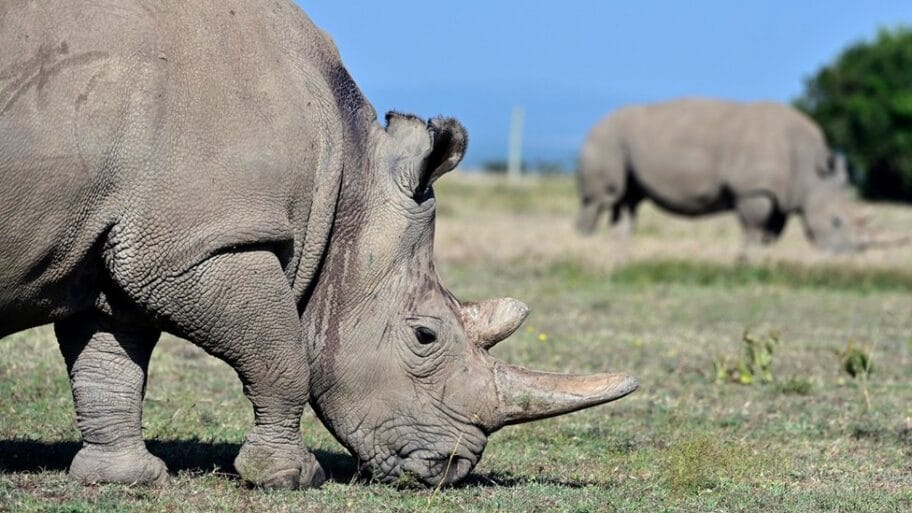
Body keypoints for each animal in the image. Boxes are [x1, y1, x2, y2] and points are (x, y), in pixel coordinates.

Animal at [0, 0, 637, 489]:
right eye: (424, 336)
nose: (449, 470)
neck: (348, 178)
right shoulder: (196, 247)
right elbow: (284, 354)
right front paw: (292, 478)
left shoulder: (124, 247)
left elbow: (110, 364)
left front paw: (123, 479)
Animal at [576, 98, 860, 252]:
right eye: (836, 222)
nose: (848, 254)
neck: (811, 172)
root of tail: (594, 124)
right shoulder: (754, 190)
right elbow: (754, 227)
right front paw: (748, 257)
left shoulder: (780, 194)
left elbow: (771, 232)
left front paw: (762, 256)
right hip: (605, 139)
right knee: (602, 199)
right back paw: (584, 245)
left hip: (619, 141)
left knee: (628, 201)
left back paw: (619, 248)